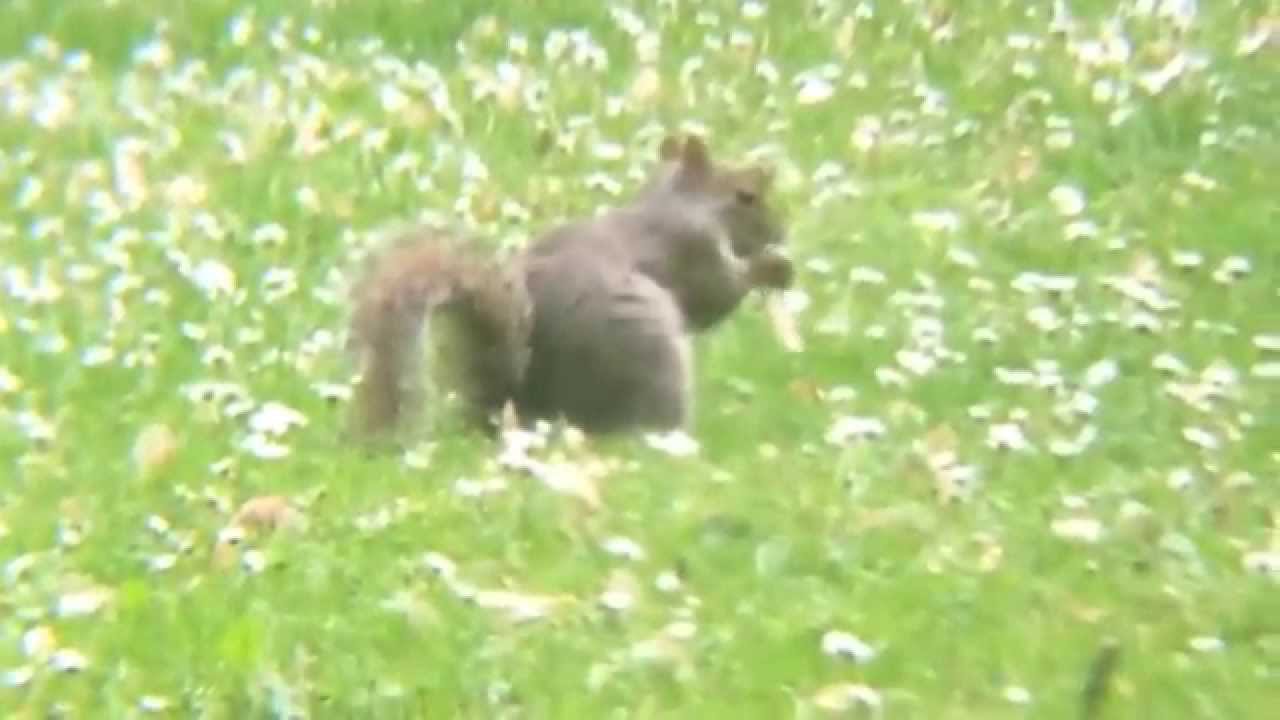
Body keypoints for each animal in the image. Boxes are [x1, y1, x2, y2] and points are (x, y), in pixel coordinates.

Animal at [346, 134, 793, 442]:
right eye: (745, 196)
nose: (781, 233)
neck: (676, 203)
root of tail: (521, 403)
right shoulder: (689, 248)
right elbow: (717, 295)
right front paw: (773, 269)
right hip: (651, 355)